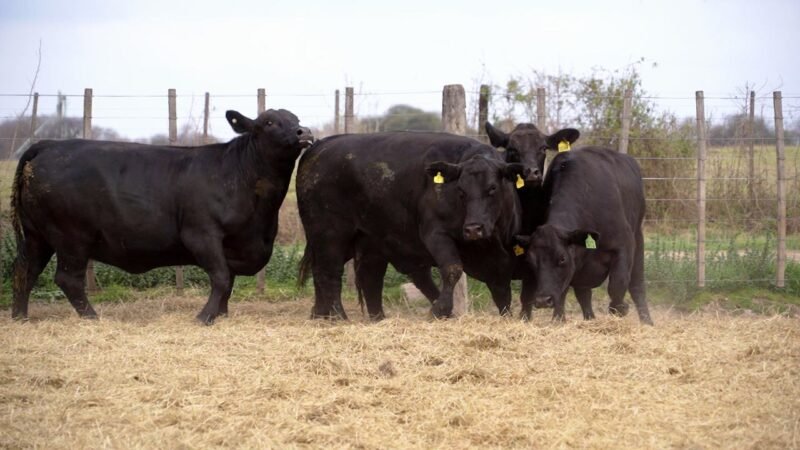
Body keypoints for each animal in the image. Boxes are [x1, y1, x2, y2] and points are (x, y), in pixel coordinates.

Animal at [10, 108, 313, 325]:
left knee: (25, 269)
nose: (304, 131)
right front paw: (205, 317)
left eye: (296, 118)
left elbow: (229, 281)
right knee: (67, 279)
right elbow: (221, 277)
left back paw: (20, 317)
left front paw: (221, 314)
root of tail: (48, 145)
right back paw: (92, 318)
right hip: (72, 237)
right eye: (269, 122)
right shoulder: (202, 234)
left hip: (37, 235)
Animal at [296, 132, 528, 320]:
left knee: (368, 277)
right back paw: (338, 316)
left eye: (493, 188)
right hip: (330, 235)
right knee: (329, 273)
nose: (473, 229)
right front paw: (440, 310)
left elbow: (502, 291)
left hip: (368, 241)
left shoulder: (501, 259)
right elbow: (452, 269)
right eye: (461, 191)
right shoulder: (436, 234)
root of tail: (320, 146)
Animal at [514, 147, 654, 325]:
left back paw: (647, 322)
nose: (543, 300)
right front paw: (558, 320)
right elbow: (565, 293)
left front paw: (620, 308)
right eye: (531, 261)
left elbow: (617, 285)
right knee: (583, 294)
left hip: (638, 236)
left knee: (637, 286)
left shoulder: (624, 246)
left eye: (562, 258)